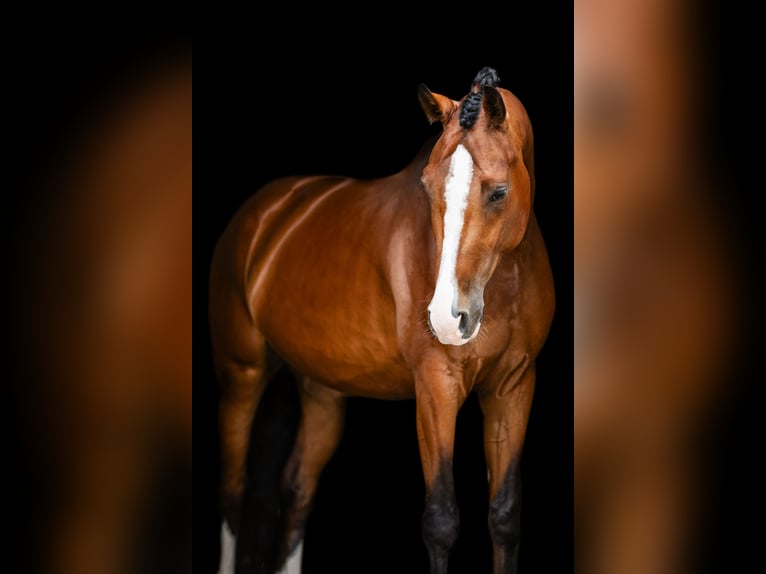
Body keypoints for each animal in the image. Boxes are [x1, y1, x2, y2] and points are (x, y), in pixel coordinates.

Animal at [213, 68, 556, 574]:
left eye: (499, 191)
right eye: (427, 186)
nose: (446, 319)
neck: (503, 285)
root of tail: (265, 213)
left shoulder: (513, 386)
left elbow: (505, 516)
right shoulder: (436, 386)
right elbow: (441, 520)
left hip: (322, 393)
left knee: (297, 490)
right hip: (242, 376)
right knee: (235, 492)